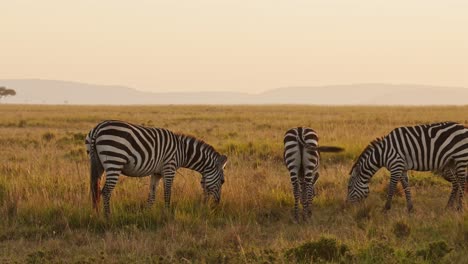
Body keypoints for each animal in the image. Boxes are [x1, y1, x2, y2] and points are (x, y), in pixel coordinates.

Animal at [87, 119, 229, 217]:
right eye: (222, 181)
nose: (216, 204)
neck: (182, 151)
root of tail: (98, 128)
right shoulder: (169, 168)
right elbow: (167, 193)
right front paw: (167, 214)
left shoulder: (156, 173)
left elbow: (152, 195)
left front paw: (146, 214)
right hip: (114, 161)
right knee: (105, 191)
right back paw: (107, 217)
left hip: (97, 164)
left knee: (95, 189)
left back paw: (96, 215)